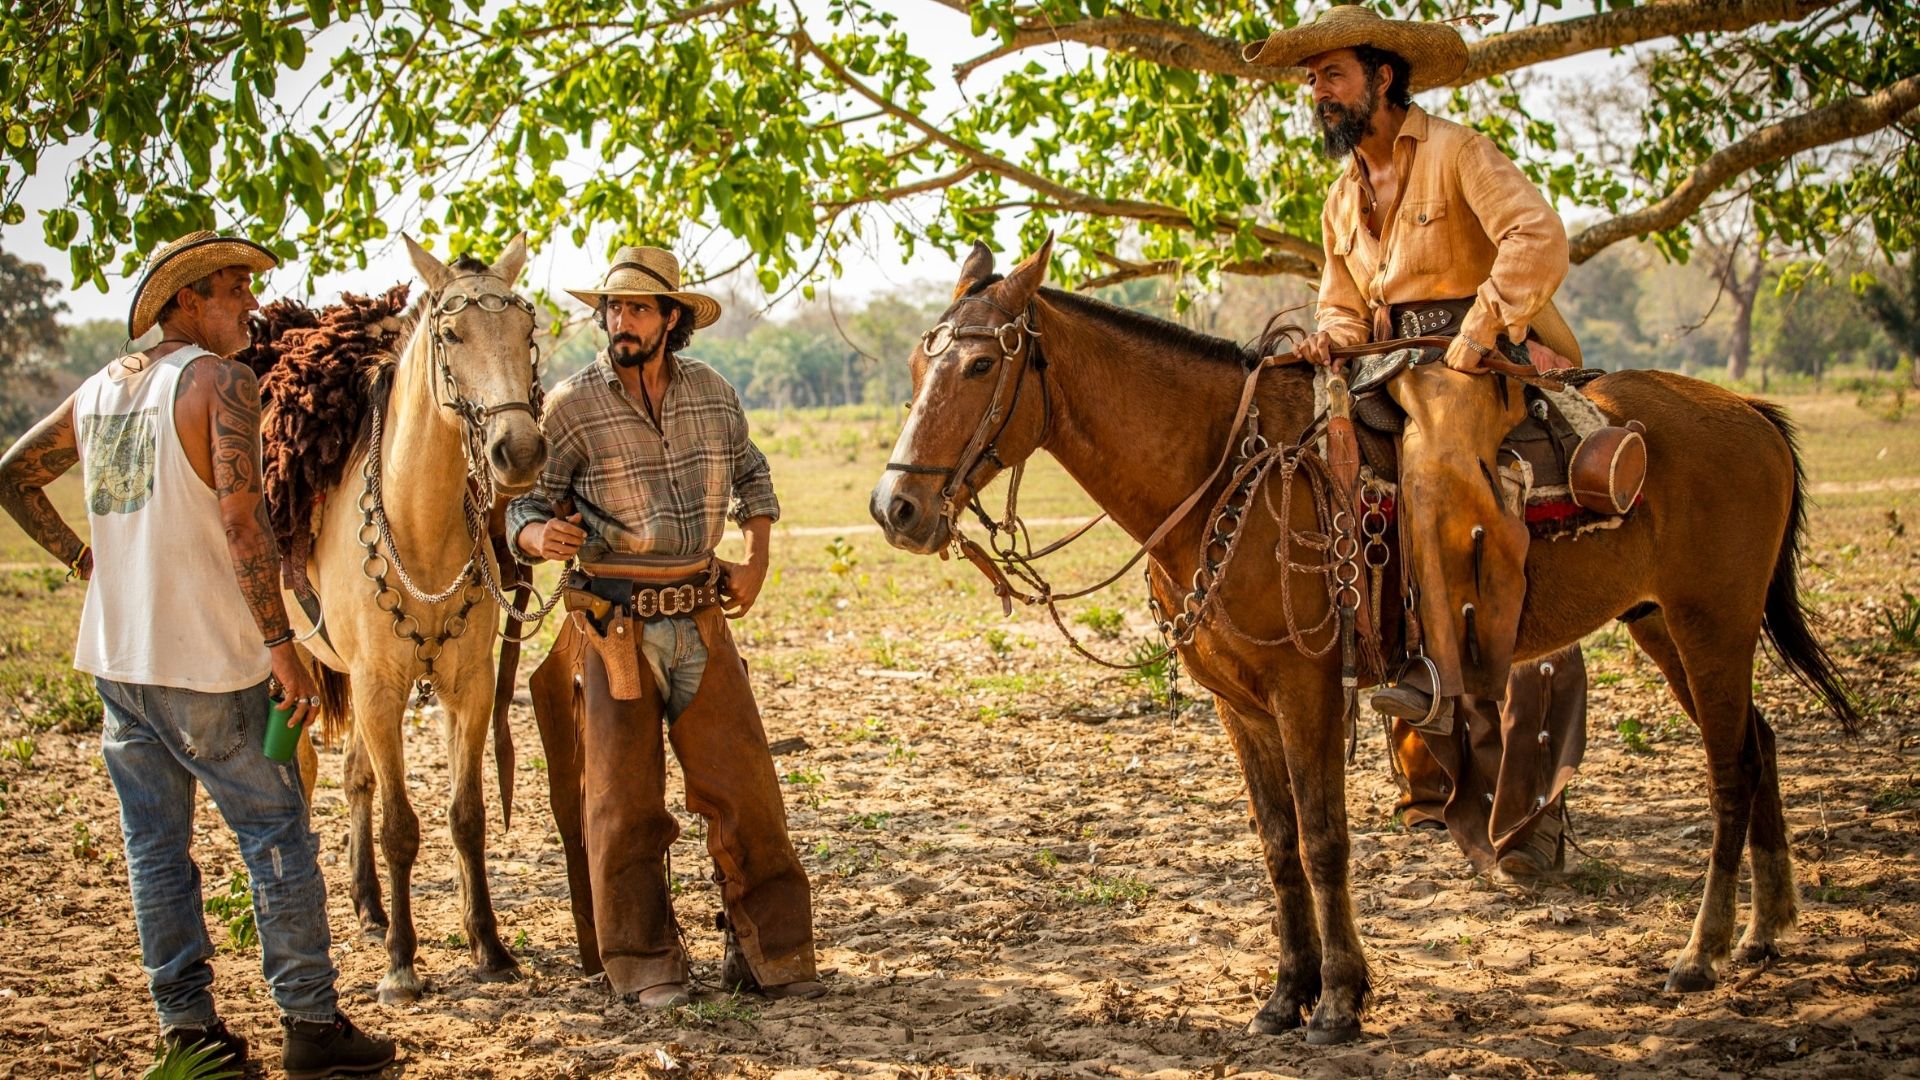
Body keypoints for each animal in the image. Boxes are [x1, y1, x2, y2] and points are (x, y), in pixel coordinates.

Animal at [291, 235, 549, 999]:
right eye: (452, 336)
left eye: (526, 333)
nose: (519, 450)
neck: (421, 531)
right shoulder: (378, 689)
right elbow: (401, 826)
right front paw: (402, 964)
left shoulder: (468, 689)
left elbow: (466, 818)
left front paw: (488, 945)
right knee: (312, 776)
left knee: (356, 777)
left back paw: (370, 906)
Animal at [871, 239, 1858, 1037]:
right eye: (919, 364)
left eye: (977, 366)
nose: (897, 508)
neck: (1223, 473)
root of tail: (1747, 412)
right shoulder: (1239, 706)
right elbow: (1276, 844)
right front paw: (1285, 994)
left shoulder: (1304, 688)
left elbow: (1321, 840)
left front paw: (1341, 999)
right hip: (1662, 624)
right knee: (1759, 745)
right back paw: (1766, 931)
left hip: (1710, 622)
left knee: (1729, 767)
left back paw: (1704, 950)